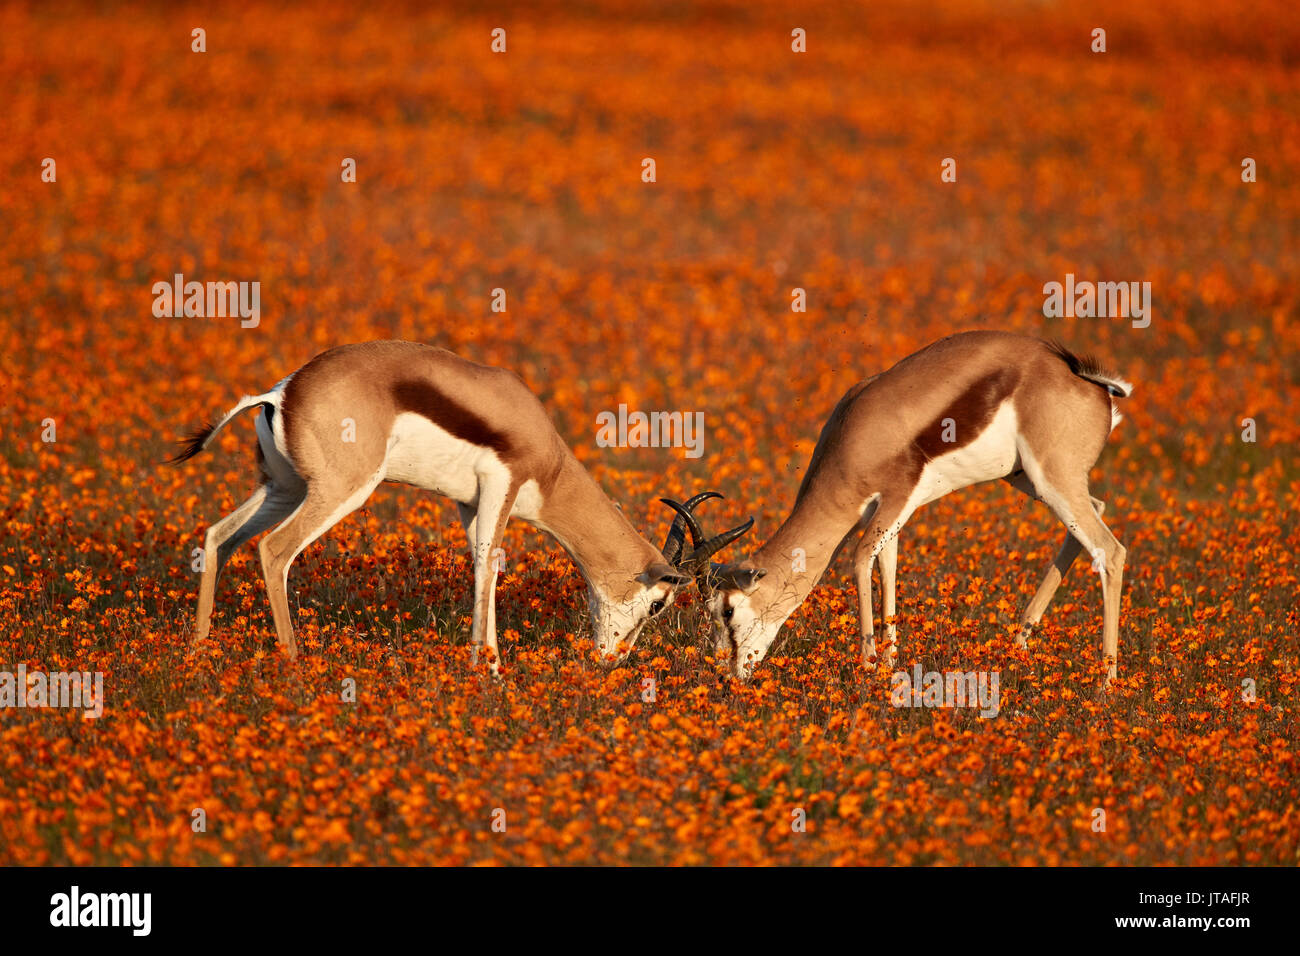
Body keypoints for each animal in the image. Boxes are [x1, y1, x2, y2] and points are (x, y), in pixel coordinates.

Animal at [176, 340, 759, 671]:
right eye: (659, 604)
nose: (612, 661)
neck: (545, 453)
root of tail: (282, 393)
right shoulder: (502, 484)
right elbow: (489, 568)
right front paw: (492, 673)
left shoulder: (466, 502)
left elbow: (483, 567)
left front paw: (487, 665)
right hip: (341, 490)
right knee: (273, 550)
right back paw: (294, 663)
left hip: (283, 488)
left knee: (217, 536)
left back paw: (198, 651)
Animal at [707, 332, 1133, 686]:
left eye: (726, 611)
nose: (727, 674)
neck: (855, 440)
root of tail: (1089, 383)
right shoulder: (888, 515)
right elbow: (887, 566)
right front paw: (890, 664)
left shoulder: (895, 497)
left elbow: (860, 559)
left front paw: (869, 668)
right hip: (1027, 478)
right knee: (1092, 518)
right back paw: (1017, 648)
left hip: (1052, 478)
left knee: (1110, 551)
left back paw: (1105, 686)